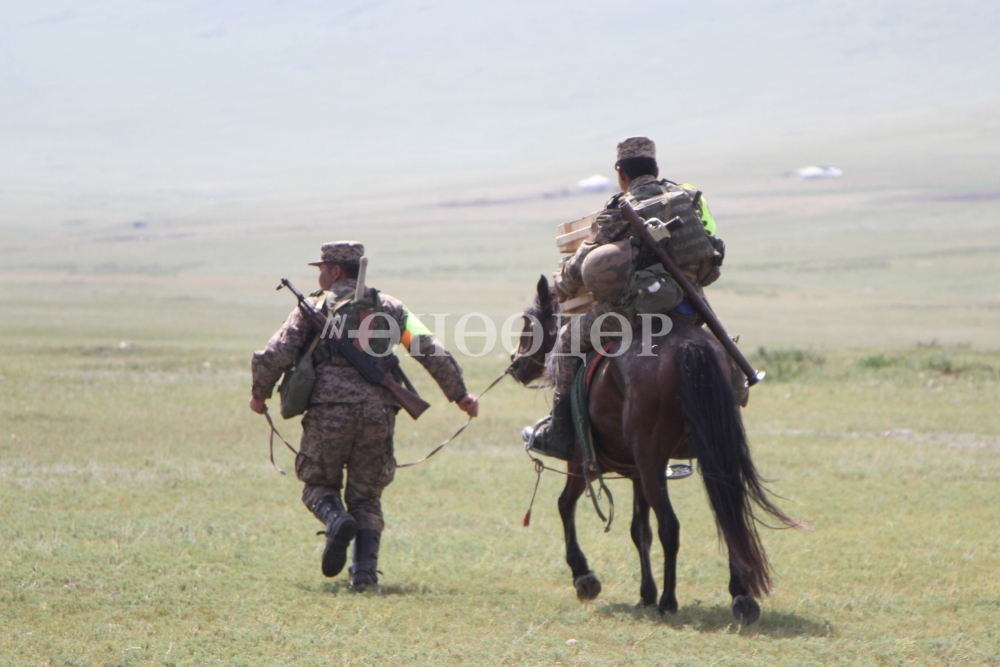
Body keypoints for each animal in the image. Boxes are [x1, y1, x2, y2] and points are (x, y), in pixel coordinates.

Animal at [512, 276, 800, 628]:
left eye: (530, 324)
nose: (515, 364)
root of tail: (690, 346)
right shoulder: (637, 471)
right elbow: (640, 531)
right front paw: (645, 592)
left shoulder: (584, 461)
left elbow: (565, 505)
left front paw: (584, 576)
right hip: (710, 455)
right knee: (730, 516)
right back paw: (740, 595)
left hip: (648, 463)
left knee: (671, 526)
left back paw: (669, 600)